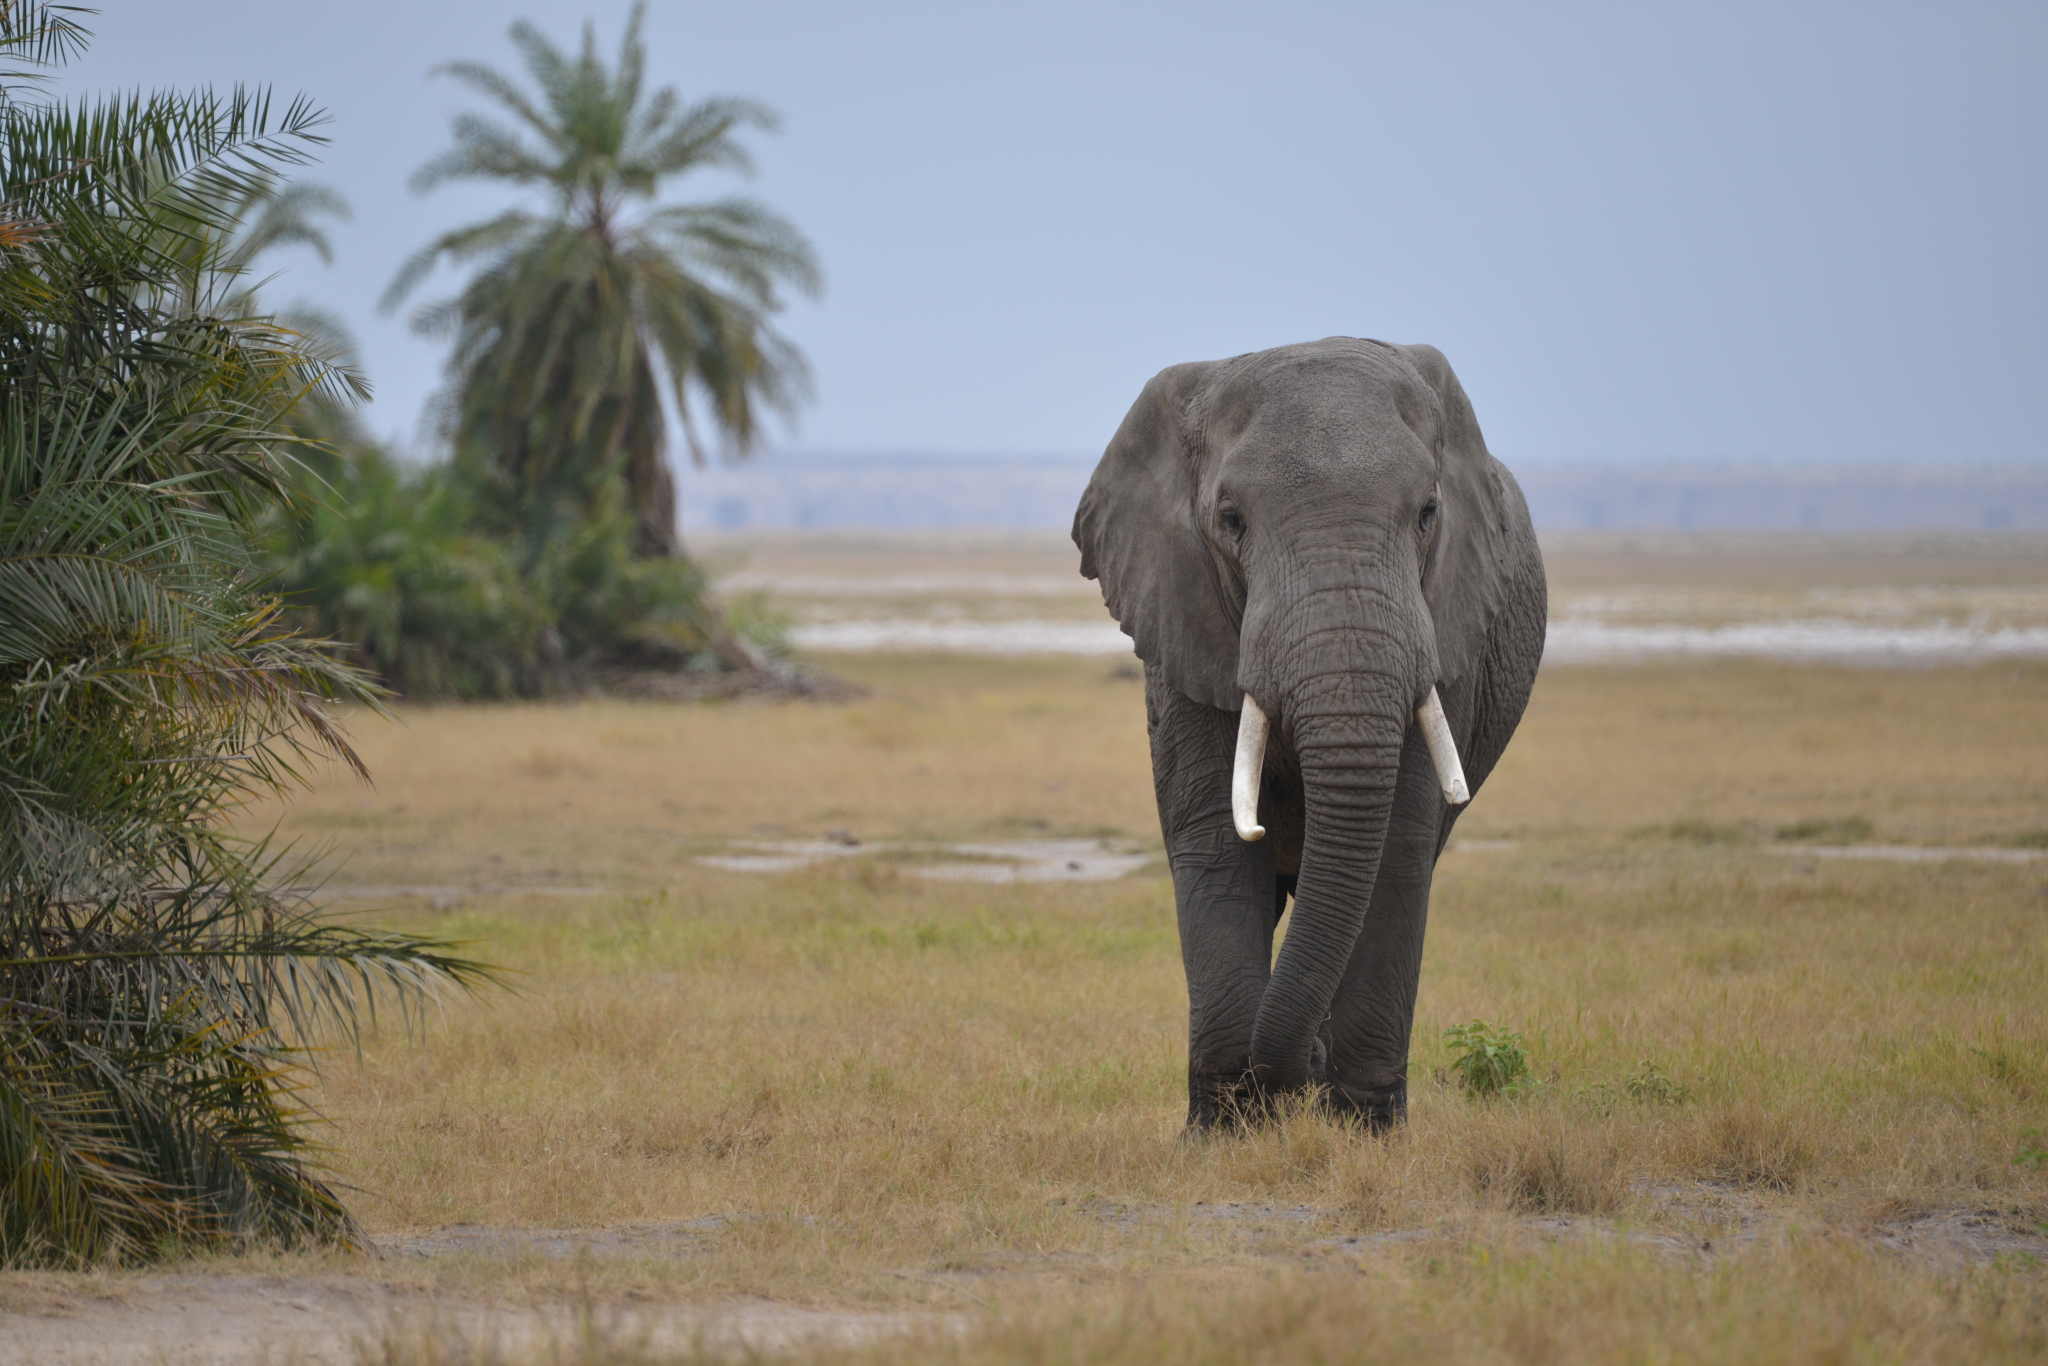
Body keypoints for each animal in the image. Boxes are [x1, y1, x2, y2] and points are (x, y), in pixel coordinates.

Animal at [1073, 335, 1548, 1130]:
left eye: (1428, 512)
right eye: (1231, 520)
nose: (1289, 1082)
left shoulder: (1446, 634)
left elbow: (1395, 853)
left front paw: (1366, 1133)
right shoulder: (1184, 622)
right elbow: (1218, 843)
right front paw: (1225, 1134)